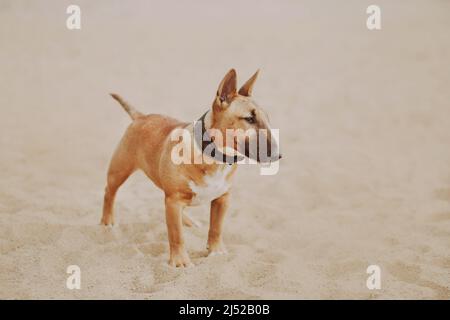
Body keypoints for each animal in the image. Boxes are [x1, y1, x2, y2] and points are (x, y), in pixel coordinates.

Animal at [101, 70, 282, 268]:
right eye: (249, 119)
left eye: (267, 118)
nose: (279, 155)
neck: (214, 157)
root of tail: (141, 116)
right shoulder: (173, 199)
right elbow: (176, 235)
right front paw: (180, 262)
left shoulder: (222, 198)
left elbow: (216, 227)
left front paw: (216, 251)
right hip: (120, 170)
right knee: (109, 192)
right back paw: (107, 222)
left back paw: (188, 221)